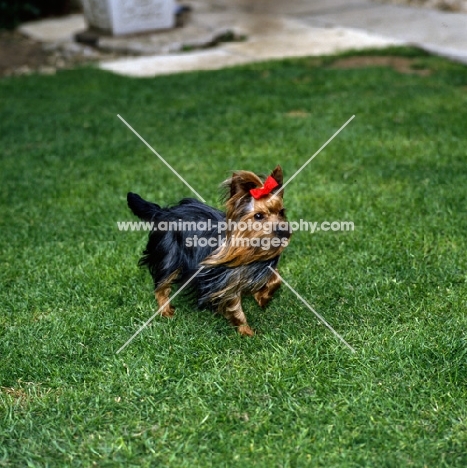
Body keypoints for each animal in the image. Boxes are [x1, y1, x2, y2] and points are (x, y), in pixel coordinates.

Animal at [126, 166, 290, 334]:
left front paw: (263, 298)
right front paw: (246, 332)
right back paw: (165, 311)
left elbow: (276, 280)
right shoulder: (223, 281)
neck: (251, 250)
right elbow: (234, 307)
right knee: (162, 285)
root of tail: (163, 212)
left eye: (281, 212)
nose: (283, 231)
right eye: (258, 216)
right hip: (169, 255)